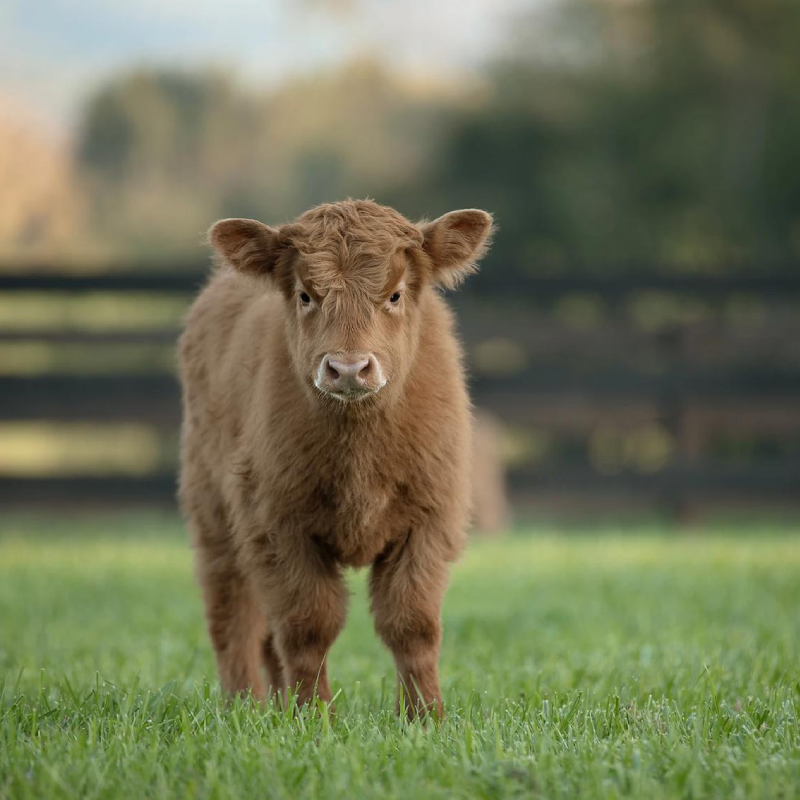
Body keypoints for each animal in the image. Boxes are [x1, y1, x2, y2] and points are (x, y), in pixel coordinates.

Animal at [178, 197, 494, 716]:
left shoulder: (430, 520)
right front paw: (313, 716)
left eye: (395, 295)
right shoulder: (277, 525)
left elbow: (413, 626)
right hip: (215, 516)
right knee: (234, 617)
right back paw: (243, 706)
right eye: (306, 295)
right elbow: (309, 627)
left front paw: (425, 716)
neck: (359, 455)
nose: (348, 368)